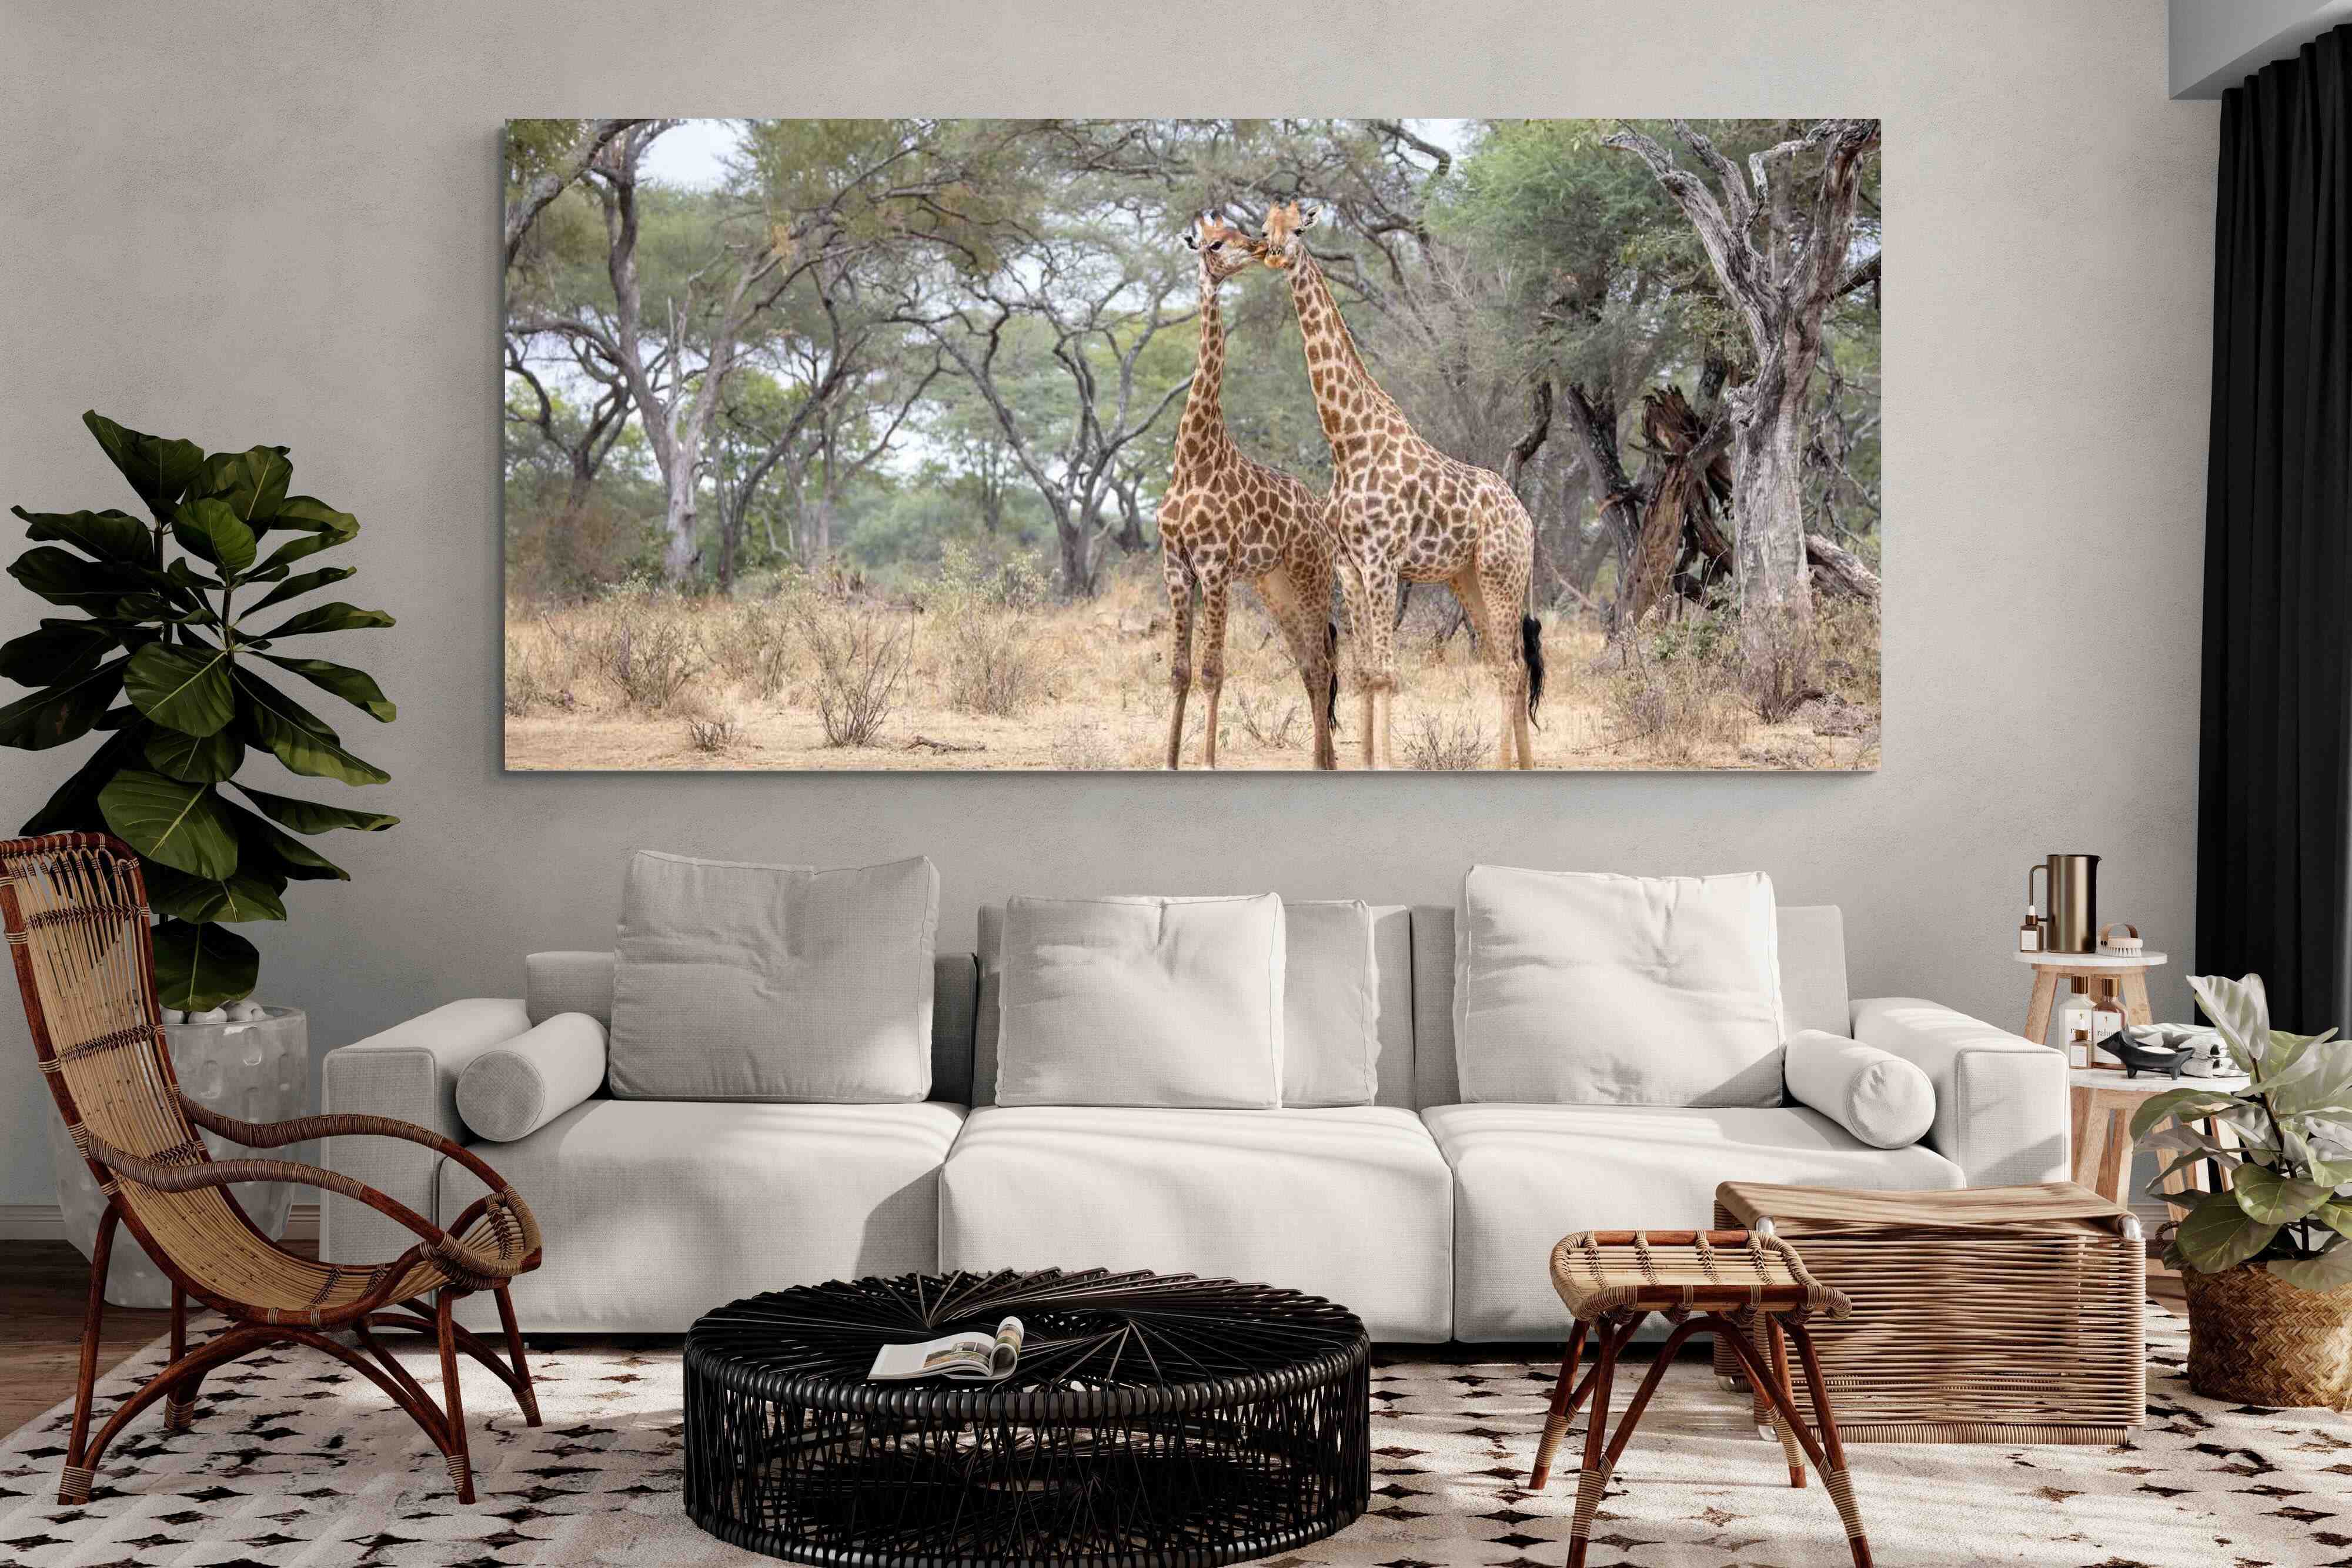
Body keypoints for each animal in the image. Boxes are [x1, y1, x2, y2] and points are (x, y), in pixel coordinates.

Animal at [1159, 213, 1339, 770]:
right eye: (1216, 243)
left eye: (1241, 231)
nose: (1260, 247)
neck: (1193, 459)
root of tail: (1322, 518)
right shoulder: (1177, 567)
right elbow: (1180, 671)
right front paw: (1169, 760)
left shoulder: (1215, 565)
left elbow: (1213, 670)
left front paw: (1208, 761)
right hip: (1274, 585)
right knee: (1309, 665)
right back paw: (1326, 762)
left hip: (1312, 578)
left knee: (1323, 666)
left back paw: (1322, 764)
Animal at [1253, 201, 1545, 770]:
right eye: (1263, 228)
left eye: (1299, 228)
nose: (1275, 253)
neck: (1348, 441)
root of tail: (1524, 518)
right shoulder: (1351, 566)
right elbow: (1367, 671)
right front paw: (1367, 760)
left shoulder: (1383, 560)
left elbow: (1387, 673)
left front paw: (1384, 763)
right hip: (1467, 578)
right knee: (1511, 665)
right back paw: (1523, 765)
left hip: (1501, 573)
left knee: (1512, 667)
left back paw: (1505, 765)